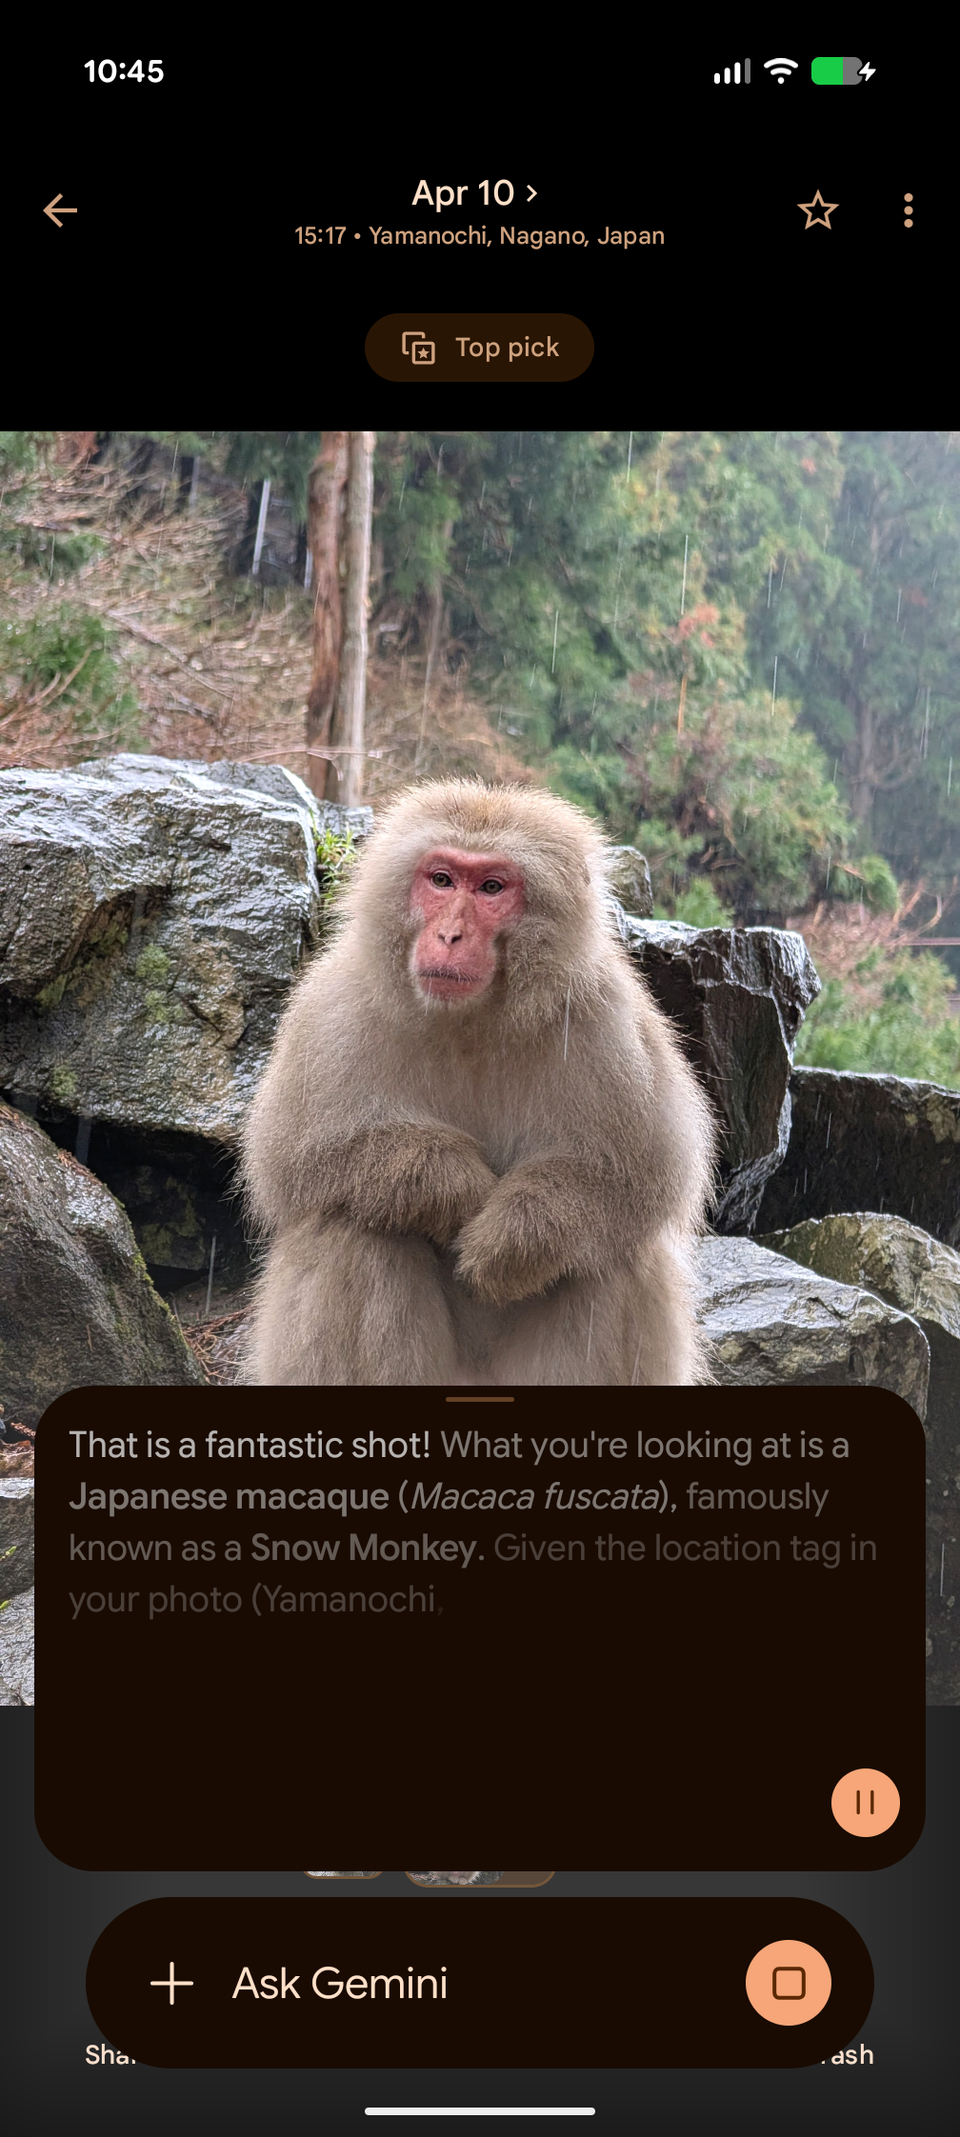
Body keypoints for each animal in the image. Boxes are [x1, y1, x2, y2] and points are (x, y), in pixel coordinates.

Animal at [241, 779, 716, 1386]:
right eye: (442, 880)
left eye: (492, 887)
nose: (449, 934)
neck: (472, 1023)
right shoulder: (335, 1006)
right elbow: (292, 1163)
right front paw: (453, 1184)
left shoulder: (606, 1021)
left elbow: (645, 1175)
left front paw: (517, 1236)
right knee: (353, 1225)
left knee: (615, 1254)